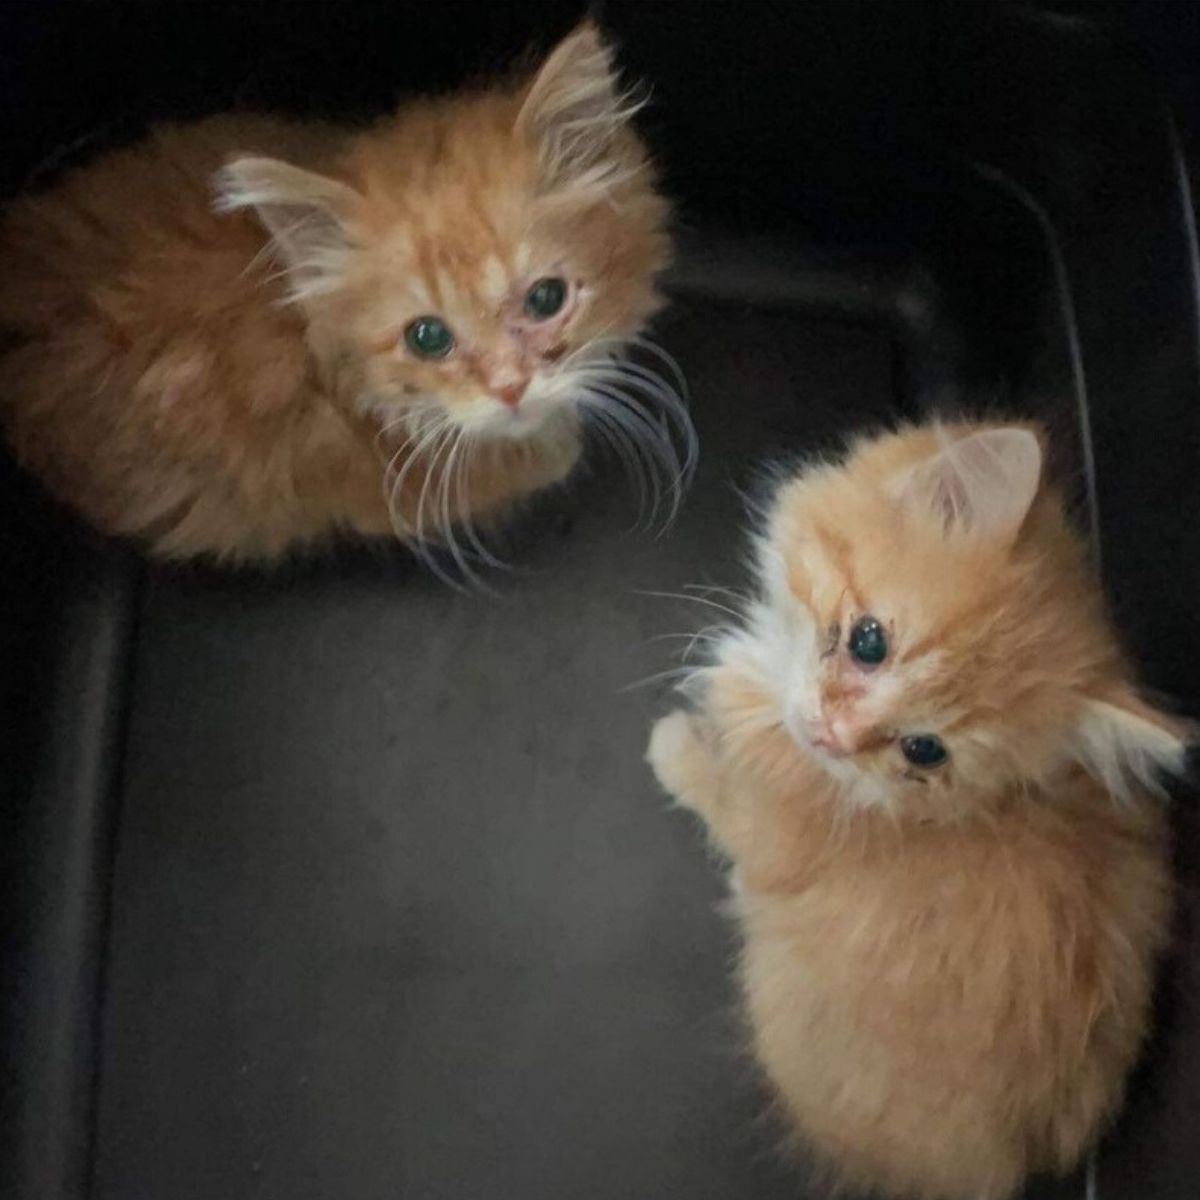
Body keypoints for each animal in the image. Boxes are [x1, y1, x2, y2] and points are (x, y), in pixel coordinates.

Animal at [648, 422, 1190, 1200]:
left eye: (924, 750)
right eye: (868, 640)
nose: (836, 737)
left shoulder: (764, 831)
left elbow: (714, 791)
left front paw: (673, 745)